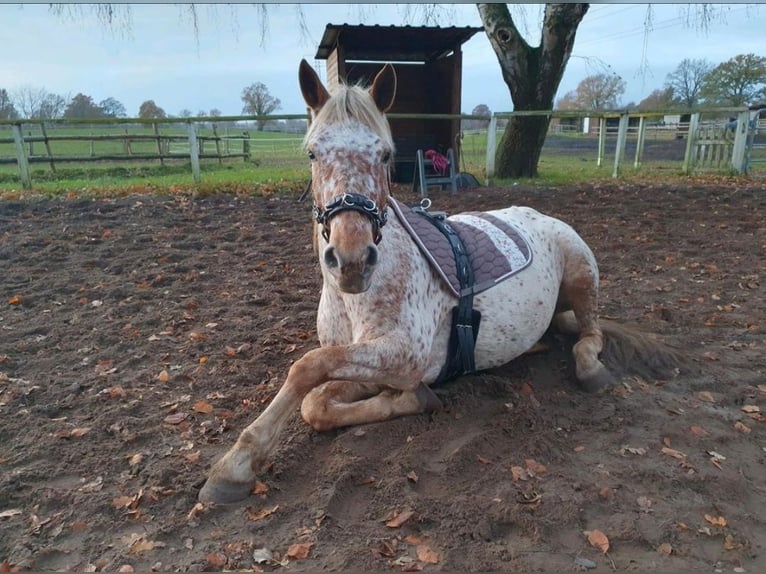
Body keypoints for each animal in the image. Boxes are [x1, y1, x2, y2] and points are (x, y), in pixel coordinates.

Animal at [196, 60, 680, 506]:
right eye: (313, 153)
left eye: (385, 155)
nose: (351, 261)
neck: (355, 299)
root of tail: (543, 217)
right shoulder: (365, 362)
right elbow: (315, 400)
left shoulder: (404, 355)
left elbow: (308, 368)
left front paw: (234, 467)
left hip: (581, 273)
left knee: (591, 334)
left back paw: (589, 367)